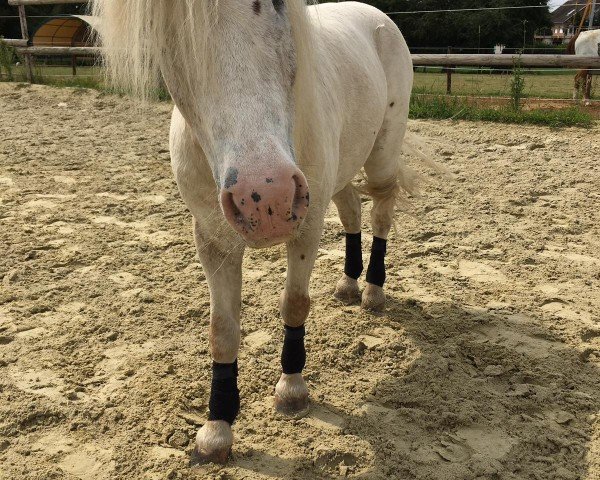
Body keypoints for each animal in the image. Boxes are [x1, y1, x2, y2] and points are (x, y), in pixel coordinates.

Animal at [94, 0, 420, 464]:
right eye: (171, 25)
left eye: (279, 5)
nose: (265, 198)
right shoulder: (213, 239)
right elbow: (222, 330)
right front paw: (216, 429)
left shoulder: (306, 225)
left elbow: (295, 305)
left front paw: (292, 390)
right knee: (352, 210)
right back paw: (348, 285)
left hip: (382, 154)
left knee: (380, 215)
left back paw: (373, 290)